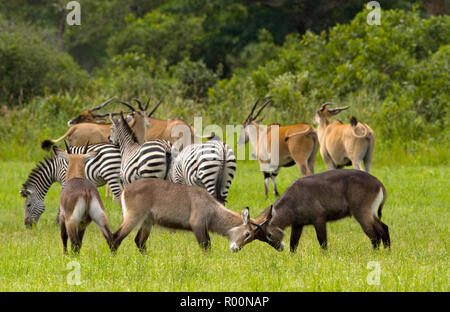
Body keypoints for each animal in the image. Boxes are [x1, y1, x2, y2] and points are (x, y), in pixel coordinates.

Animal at [111, 177, 260, 252]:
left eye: (252, 237)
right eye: (247, 234)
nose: (237, 249)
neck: (212, 208)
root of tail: (125, 190)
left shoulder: (204, 227)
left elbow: (209, 245)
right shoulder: (197, 226)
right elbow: (205, 246)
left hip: (147, 222)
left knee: (139, 242)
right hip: (133, 217)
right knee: (116, 237)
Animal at [236, 169, 390, 252]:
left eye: (268, 235)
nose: (279, 248)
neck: (293, 199)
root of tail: (379, 183)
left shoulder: (319, 219)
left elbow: (322, 241)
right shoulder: (298, 225)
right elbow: (293, 244)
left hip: (362, 213)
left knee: (374, 235)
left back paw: (375, 253)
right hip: (371, 213)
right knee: (383, 228)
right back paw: (387, 252)